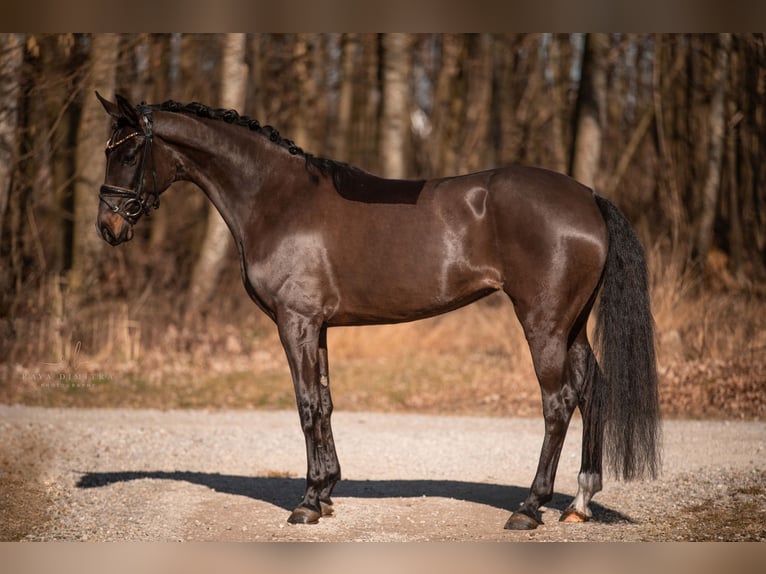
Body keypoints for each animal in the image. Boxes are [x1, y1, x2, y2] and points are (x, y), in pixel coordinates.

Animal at [96, 93, 660, 532]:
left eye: (129, 152)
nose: (108, 226)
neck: (276, 198)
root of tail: (587, 196)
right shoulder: (317, 326)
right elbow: (324, 404)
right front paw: (325, 493)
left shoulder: (295, 323)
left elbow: (306, 406)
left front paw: (306, 503)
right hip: (573, 324)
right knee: (592, 389)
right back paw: (579, 502)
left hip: (544, 325)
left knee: (558, 402)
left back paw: (529, 507)